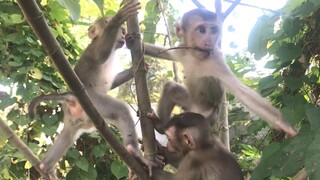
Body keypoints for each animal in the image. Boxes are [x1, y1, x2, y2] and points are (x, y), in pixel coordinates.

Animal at [143, 8, 298, 137]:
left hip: (207, 116)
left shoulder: (216, 60)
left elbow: (242, 92)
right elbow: (162, 52)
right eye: (201, 29)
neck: (197, 58)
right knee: (171, 88)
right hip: (189, 104)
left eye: (213, 30)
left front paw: (284, 124)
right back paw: (161, 126)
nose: (209, 41)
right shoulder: (182, 50)